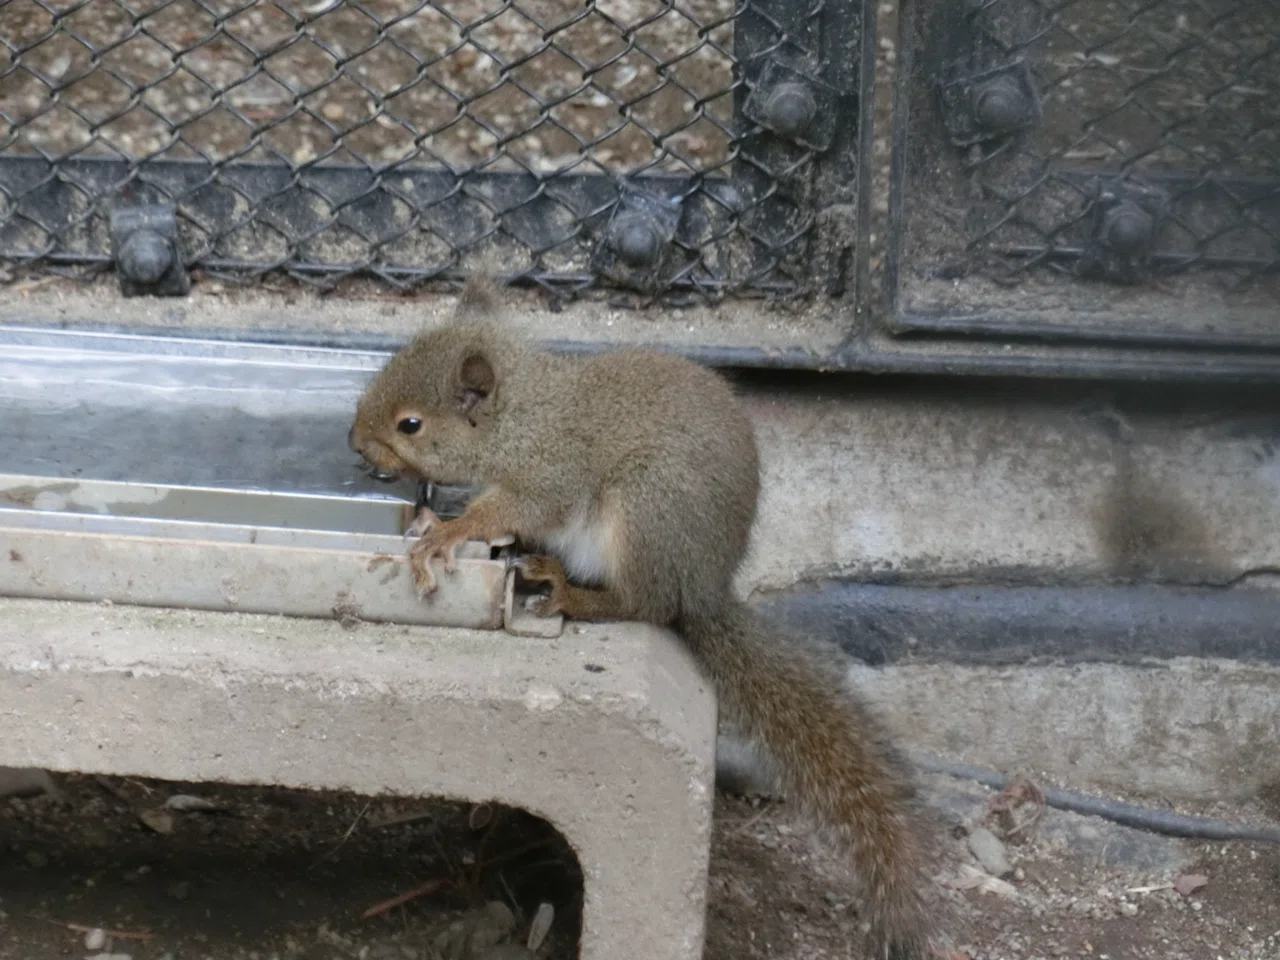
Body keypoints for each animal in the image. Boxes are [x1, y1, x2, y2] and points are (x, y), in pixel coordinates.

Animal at [348, 273, 940, 957]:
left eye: (410, 424)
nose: (354, 445)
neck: (521, 417)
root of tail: (701, 586)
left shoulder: (549, 475)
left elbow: (509, 511)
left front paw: (445, 532)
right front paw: (429, 518)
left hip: (643, 510)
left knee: (645, 605)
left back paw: (571, 592)